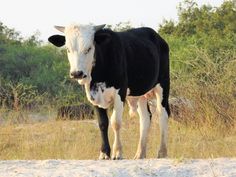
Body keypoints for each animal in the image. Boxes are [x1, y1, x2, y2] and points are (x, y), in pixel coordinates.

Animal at [48, 24, 170, 160]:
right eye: (68, 49)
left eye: (89, 48)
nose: (77, 73)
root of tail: (158, 37)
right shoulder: (94, 95)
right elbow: (102, 123)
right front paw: (104, 153)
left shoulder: (120, 93)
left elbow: (115, 122)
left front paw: (117, 152)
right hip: (140, 93)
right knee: (145, 118)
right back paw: (140, 154)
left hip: (163, 85)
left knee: (162, 114)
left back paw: (162, 152)